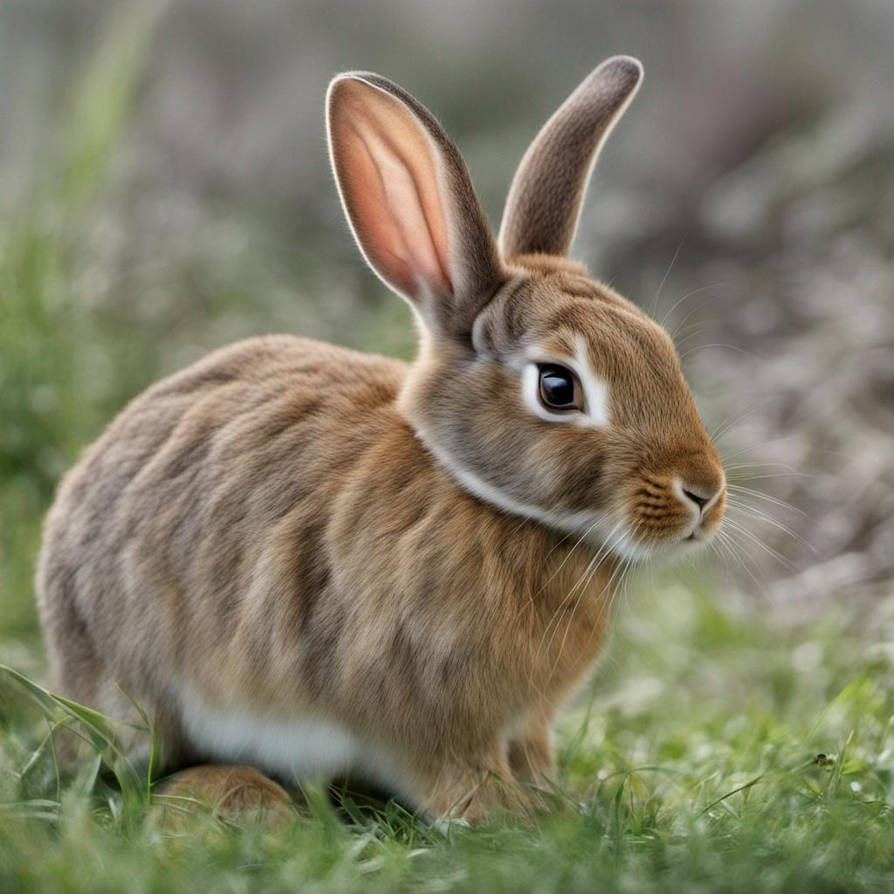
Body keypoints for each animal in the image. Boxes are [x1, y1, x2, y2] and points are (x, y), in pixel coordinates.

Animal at [36, 55, 725, 824]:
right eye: (557, 387)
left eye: (661, 348)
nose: (704, 492)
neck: (495, 507)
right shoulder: (433, 717)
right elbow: (462, 780)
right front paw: (518, 819)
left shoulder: (528, 723)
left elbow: (533, 756)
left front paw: (562, 801)